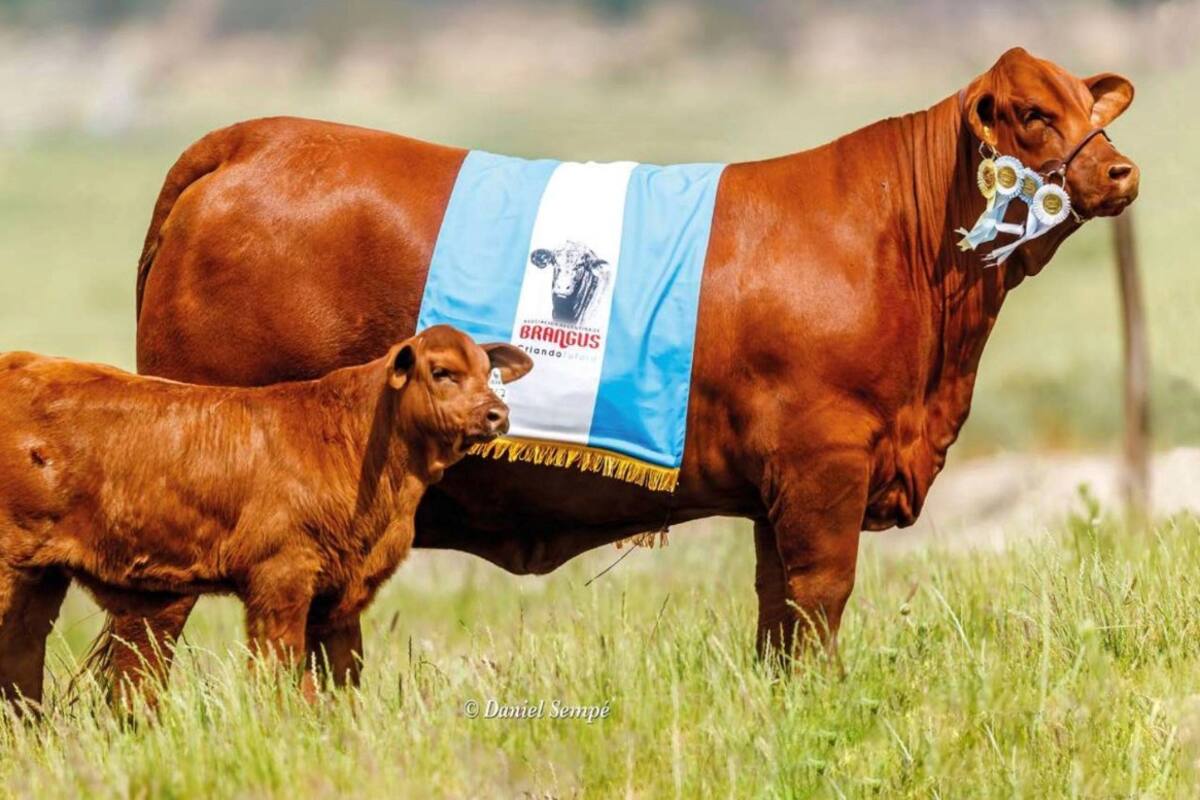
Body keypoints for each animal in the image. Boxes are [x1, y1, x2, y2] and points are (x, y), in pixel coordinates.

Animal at [0, 325, 532, 706]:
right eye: (442, 372)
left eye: (489, 372)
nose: (497, 414)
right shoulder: (280, 579)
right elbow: (279, 670)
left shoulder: (334, 593)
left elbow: (335, 675)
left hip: (41, 578)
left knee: (22, 659)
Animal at [119, 48, 1137, 691]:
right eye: (1035, 113)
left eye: (1091, 108)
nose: (1121, 171)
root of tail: (255, 138)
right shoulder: (825, 465)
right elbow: (819, 600)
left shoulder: (780, 491)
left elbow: (776, 613)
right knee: (139, 643)